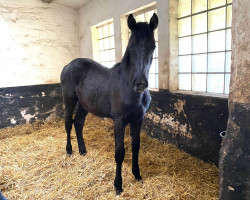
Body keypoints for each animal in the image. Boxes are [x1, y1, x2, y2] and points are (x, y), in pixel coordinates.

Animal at [60, 13, 158, 195]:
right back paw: (69, 151)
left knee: (78, 123)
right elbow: (119, 152)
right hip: (69, 100)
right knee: (68, 123)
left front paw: (137, 175)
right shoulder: (119, 121)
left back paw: (83, 151)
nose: (140, 83)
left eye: (153, 47)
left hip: (84, 105)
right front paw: (118, 185)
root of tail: (68, 65)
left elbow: (136, 147)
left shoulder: (138, 120)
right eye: (131, 48)